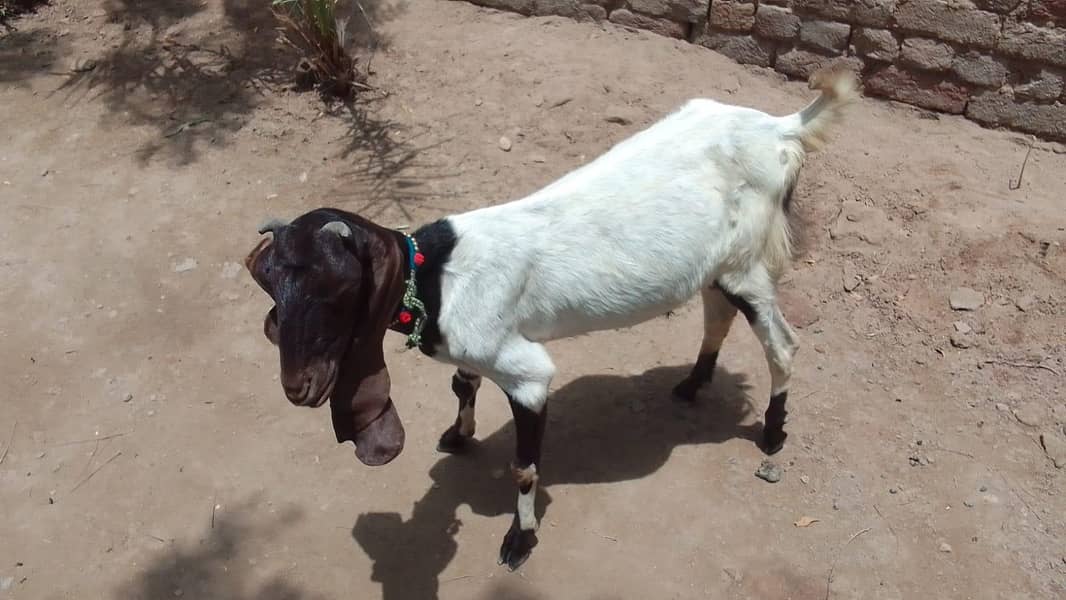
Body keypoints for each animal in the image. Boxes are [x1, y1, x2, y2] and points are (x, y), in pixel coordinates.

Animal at [245, 67, 857, 570]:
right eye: (270, 285)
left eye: (335, 289)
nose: (299, 388)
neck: (436, 277)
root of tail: (782, 128)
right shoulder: (480, 345)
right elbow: (462, 383)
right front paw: (458, 434)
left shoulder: (527, 374)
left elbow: (524, 466)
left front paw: (520, 541)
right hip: (717, 264)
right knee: (717, 318)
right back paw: (693, 383)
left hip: (747, 262)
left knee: (782, 343)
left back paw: (772, 434)